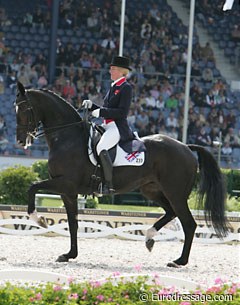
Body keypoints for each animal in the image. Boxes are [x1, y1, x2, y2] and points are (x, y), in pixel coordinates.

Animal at [15, 81, 229, 266]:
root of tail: (186, 147)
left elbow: (32, 187)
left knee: (188, 223)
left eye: (24, 110)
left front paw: (39, 220)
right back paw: (149, 237)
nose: (20, 141)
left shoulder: (65, 183)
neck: (67, 138)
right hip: (151, 190)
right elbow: (73, 223)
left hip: (175, 193)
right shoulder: (68, 192)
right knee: (171, 213)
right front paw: (69, 255)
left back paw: (179, 261)